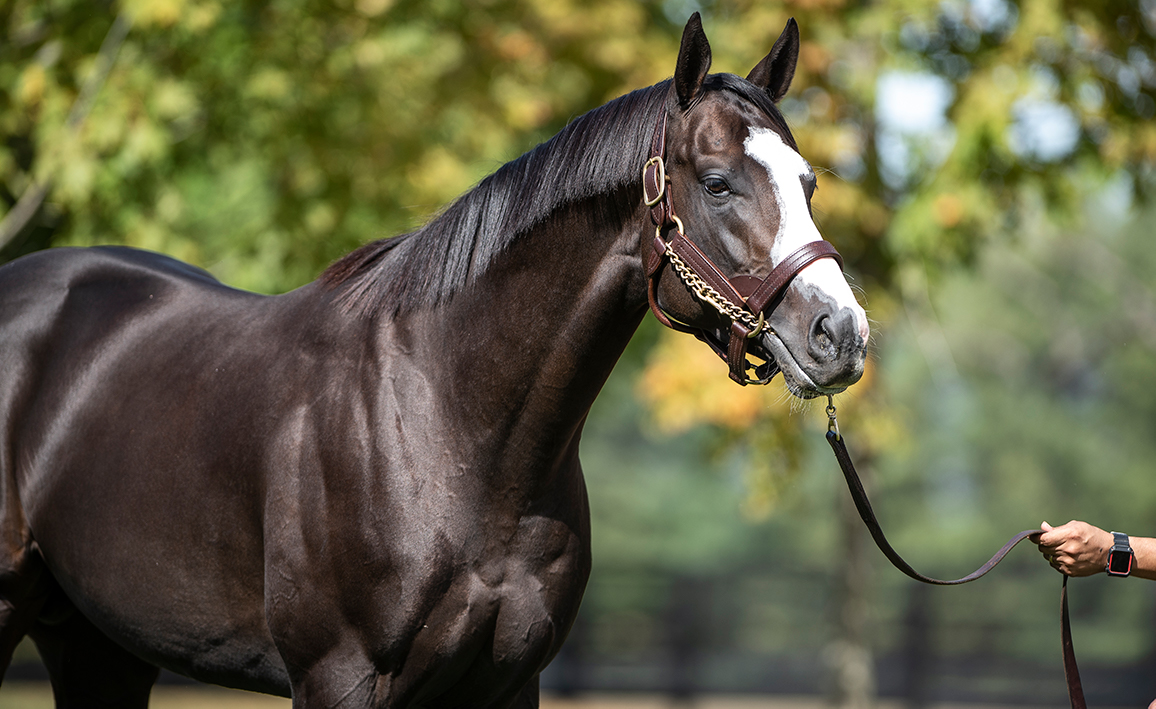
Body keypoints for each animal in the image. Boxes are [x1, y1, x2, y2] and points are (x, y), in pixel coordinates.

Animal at [0, 13, 867, 708]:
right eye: (717, 183)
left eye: (809, 184)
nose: (842, 334)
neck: (449, 425)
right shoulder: (340, 680)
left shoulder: (507, 682)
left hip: (98, 645)